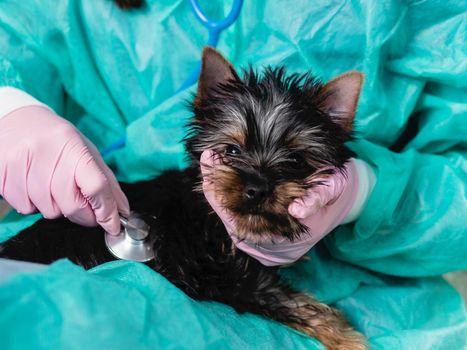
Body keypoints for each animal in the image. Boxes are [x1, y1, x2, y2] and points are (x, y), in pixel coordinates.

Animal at [0, 47, 366, 350]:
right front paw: (350, 339)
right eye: (232, 151)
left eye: (294, 161)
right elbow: (293, 301)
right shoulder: (233, 281)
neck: (213, 215)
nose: (257, 188)